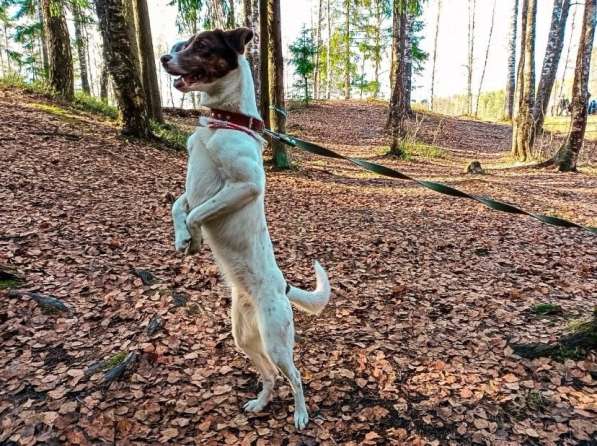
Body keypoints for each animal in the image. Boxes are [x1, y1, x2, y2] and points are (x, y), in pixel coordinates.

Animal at [161, 27, 330, 428]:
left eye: (201, 46)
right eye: (180, 45)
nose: (162, 58)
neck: (224, 121)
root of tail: (284, 287)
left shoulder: (244, 186)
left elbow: (197, 213)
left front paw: (193, 238)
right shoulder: (194, 189)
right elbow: (180, 205)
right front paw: (181, 238)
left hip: (276, 340)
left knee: (295, 377)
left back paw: (301, 414)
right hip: (243, 337)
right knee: (270, 375)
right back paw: (260, 403)